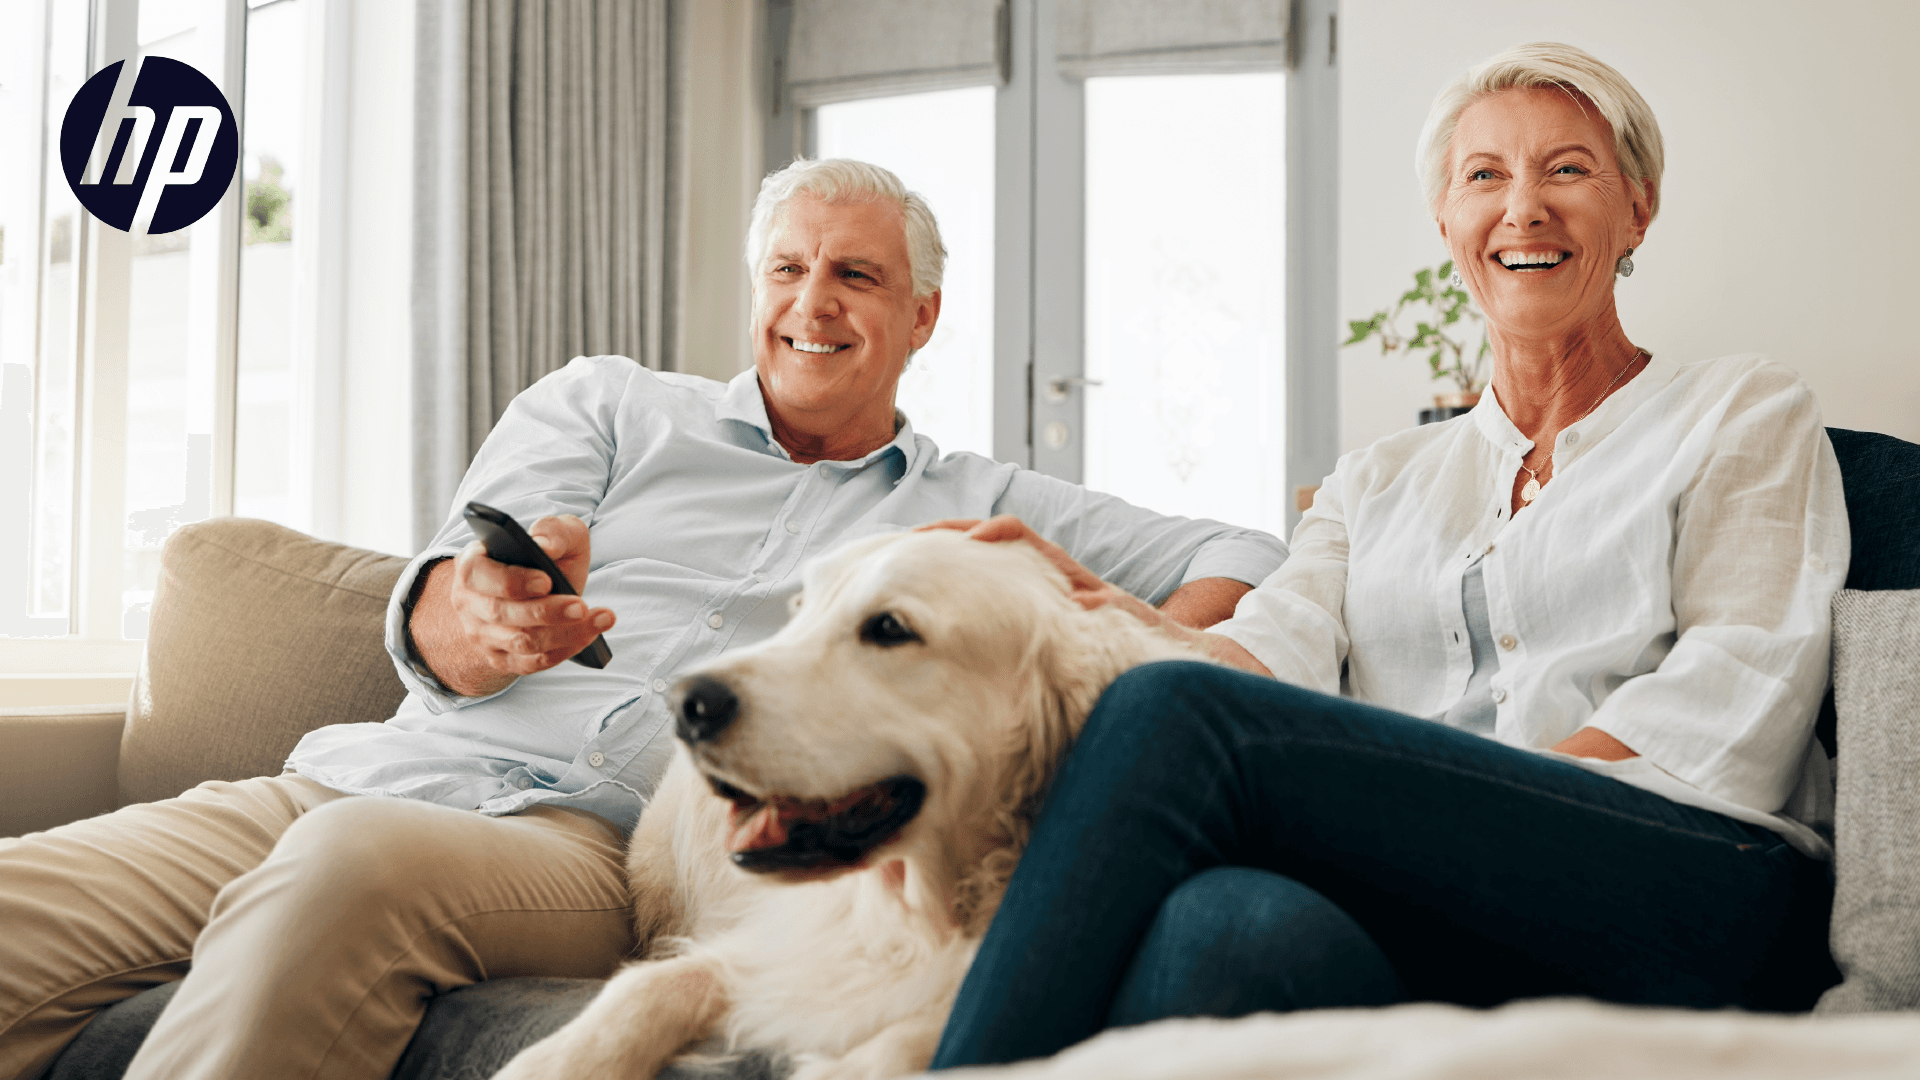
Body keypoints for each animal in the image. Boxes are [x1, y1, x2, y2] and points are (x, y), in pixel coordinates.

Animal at [491, 526, 1182, 1076]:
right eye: (802, 609)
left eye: (890, 628)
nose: (685, 705)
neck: (918, 913)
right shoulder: (784, 953)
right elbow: (651, 986)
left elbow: (909, 1042)